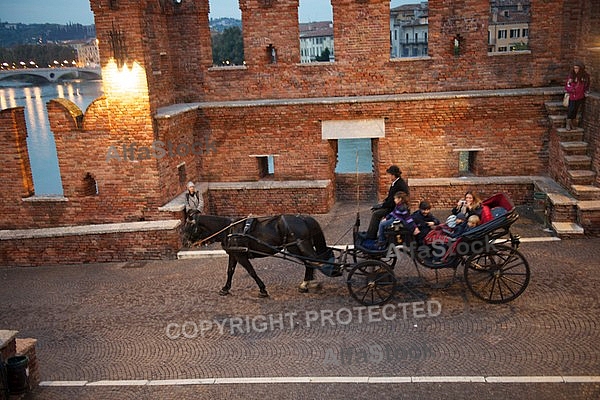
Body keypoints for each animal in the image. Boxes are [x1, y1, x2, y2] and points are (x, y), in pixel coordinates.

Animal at [183, 216, 338, 296]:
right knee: (311, 262)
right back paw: (307, 283)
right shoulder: (234, 254)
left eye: (189, 226)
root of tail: (303, 218)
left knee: (310, 262)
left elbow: (251, 272)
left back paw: (307, 283)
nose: (184, 242)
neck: (229, 231)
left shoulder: (241, 256)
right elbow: (230, 271)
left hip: (296, 247)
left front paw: (262, 289)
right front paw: (225, 288)